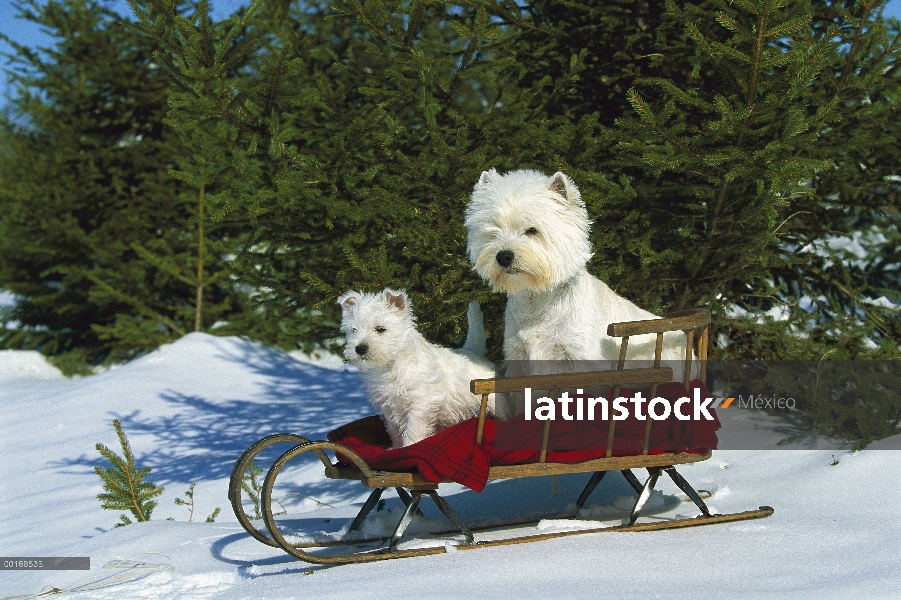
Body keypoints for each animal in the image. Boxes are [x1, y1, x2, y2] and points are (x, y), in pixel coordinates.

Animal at [338, 288, 496, 448]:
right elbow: (394, 432)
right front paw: (395, 448)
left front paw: (409, 447)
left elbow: (412, 430)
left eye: (380, 329)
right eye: (354, 330)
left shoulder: (419, 405)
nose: (360, 348)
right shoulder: (389, 407)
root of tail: (474, 352)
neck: (392, 365)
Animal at [468, 170, 684, 366]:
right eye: (493, 231)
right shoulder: (518, 355)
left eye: (532, 230)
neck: (538, 302)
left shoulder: (580, 355)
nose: (503, 256)